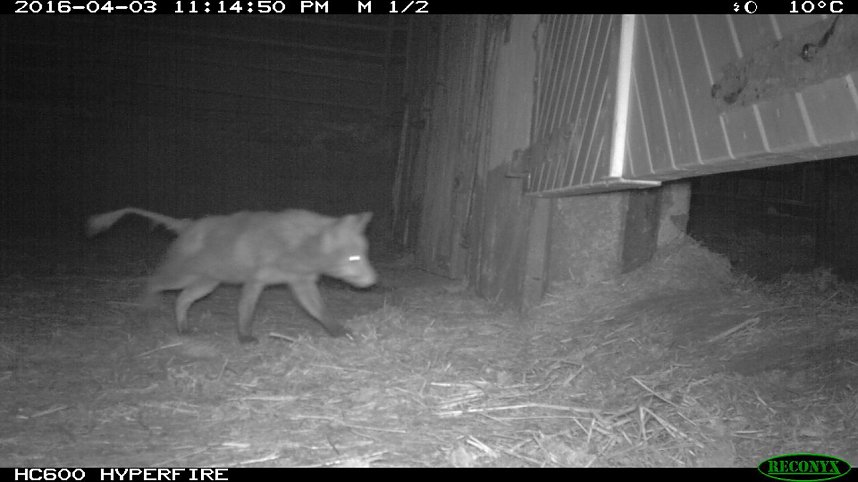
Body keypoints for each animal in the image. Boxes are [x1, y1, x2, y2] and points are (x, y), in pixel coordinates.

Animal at [87, 207, 377, 343]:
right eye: (353, 258)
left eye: (365, 254)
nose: (375, 280)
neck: (293, 245)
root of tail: (187, 224)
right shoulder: (255, 281)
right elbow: (245, 311)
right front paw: (245, 338)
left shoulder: (301, 283)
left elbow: (321, 312)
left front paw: (339, 332)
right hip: (184, 277)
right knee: (153, 282)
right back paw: (145, 310)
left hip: (206, 284)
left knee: (181, 300)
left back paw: (183, 329)